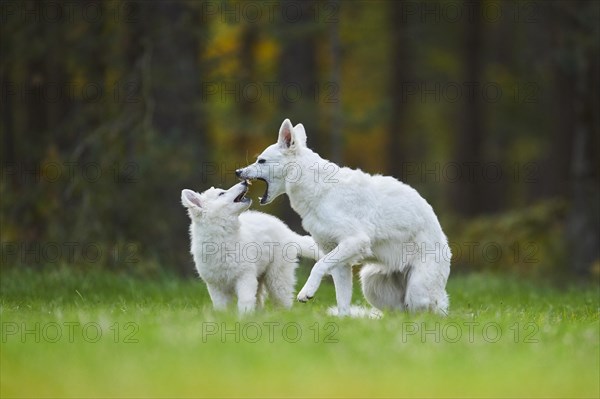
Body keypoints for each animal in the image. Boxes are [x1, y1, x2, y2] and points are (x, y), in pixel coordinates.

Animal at [180, 180, 318, 314]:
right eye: (221, 194)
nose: (245, 182)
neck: (223, 237)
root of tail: (287, 232)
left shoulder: (245, 276)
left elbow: (245, 300)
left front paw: (244, 317)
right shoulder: (216, 285)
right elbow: (221, 306)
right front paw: (224, 317)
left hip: (277, 277)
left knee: (282, 298)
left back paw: (285, 314)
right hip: (261, 277)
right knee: (259, 300)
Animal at [234, 119, 450, 316]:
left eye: (261, 160)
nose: (238, 171)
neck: (320, 190)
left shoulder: (354, 241)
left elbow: (318, 266)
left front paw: (307, 292)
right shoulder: (339, 261)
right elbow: (342, 302)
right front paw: (343, 321)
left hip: (417, 293)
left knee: (424, 310)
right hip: (370, 283)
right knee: (396, 313)